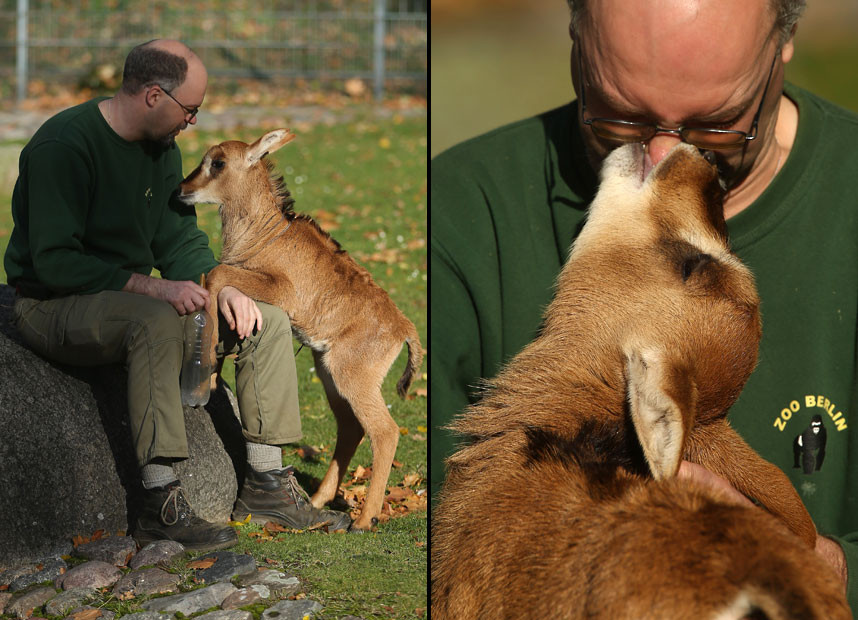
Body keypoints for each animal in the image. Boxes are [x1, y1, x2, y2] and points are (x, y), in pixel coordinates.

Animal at [178, 130, 423, 531]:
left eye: (218, 162)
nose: (183, 189)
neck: (264, 234)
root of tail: (403, 327)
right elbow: (212, 278)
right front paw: (211, 373)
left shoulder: (280, 291)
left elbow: (215, 273)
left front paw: (207, 369)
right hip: (328, 373)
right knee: (351, 428)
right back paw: (320, 500)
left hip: (352, 375)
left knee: (384, 431)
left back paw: (364, 518)